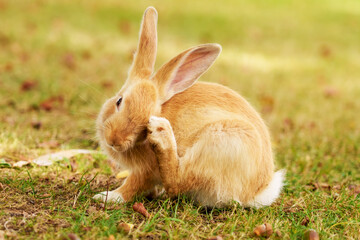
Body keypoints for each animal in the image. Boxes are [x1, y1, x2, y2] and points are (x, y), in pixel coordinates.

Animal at [94, 6, 286, 207]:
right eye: (119, 101)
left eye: (147, 120)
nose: (115, 140)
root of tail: (257, 191)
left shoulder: (146, 171)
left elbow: (133, 186)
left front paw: (108, 196)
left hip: (220, 143)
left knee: (177, 181)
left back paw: (162, 133)